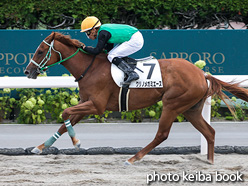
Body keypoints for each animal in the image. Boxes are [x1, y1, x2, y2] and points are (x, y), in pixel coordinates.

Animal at [24, 32, 248, 164]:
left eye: (41, 51)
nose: (28, 71)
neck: (90, 68)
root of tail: (202, 74)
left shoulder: (96, 105)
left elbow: (65, 113)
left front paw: (77, 142)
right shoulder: (86, 103)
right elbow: (65, 122)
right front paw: (39, 147)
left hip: (172, 104)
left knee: (162, 134)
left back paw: (133, 158)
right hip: (190, 109)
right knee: (209, 132)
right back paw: (209, 161)